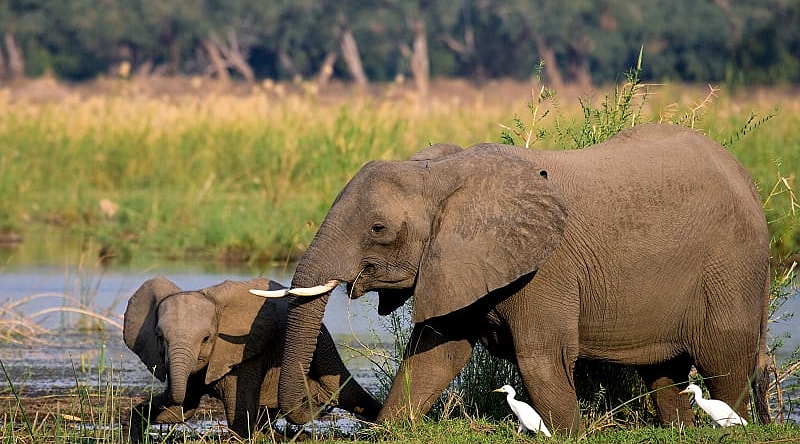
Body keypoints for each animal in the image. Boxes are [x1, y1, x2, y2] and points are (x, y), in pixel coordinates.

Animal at [123, 276, 380, 442]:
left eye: (206, 338)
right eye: (159, 338)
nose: (323, 406)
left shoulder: (245, 353)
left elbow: (238, 416)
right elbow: (182, 410)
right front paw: (137, 426)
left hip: (323, 344)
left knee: (347, 391)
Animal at [256, 123, 771, 434]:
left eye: (378, 230)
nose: (314, 408)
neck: (443, 174)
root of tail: (747, 179)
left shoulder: (545, 270)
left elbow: (541, 359)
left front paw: (568, 436)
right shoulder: (456, 263)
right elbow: (433, 357)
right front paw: (389, 431)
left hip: (732, 265)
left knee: (725, 360)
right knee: (664, 371)